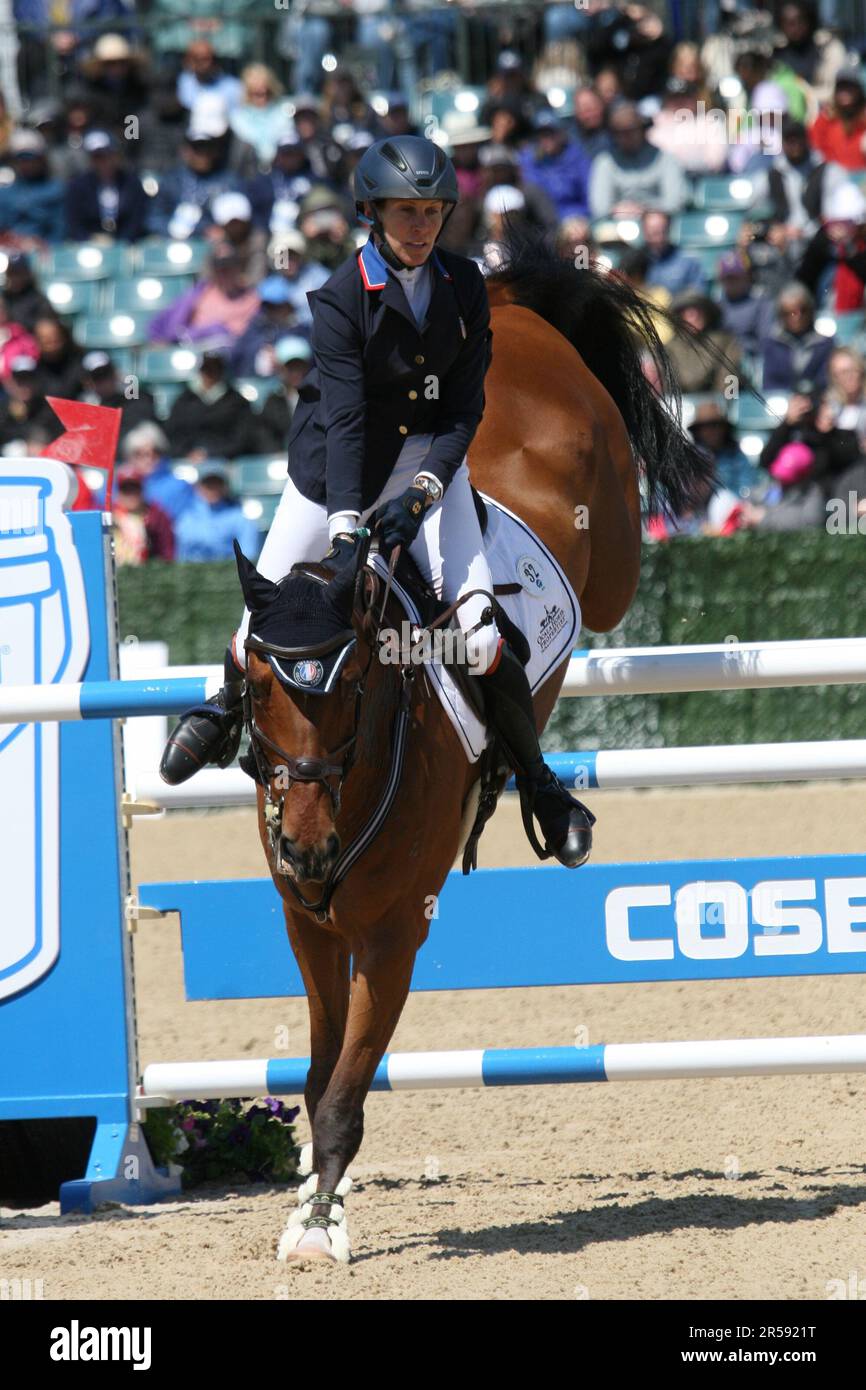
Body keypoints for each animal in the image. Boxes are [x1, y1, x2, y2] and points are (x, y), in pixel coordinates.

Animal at [234, 227, 714, 1262]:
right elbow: (315, 1075)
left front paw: (319, 1231)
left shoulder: (394, 932)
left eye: (355, 689)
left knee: (571, 595)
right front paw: (311, 1208)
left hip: (606, 548)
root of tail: (509, 306)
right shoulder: (309, 926)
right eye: (253, 685)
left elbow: (345, 1091)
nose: (308, 848)